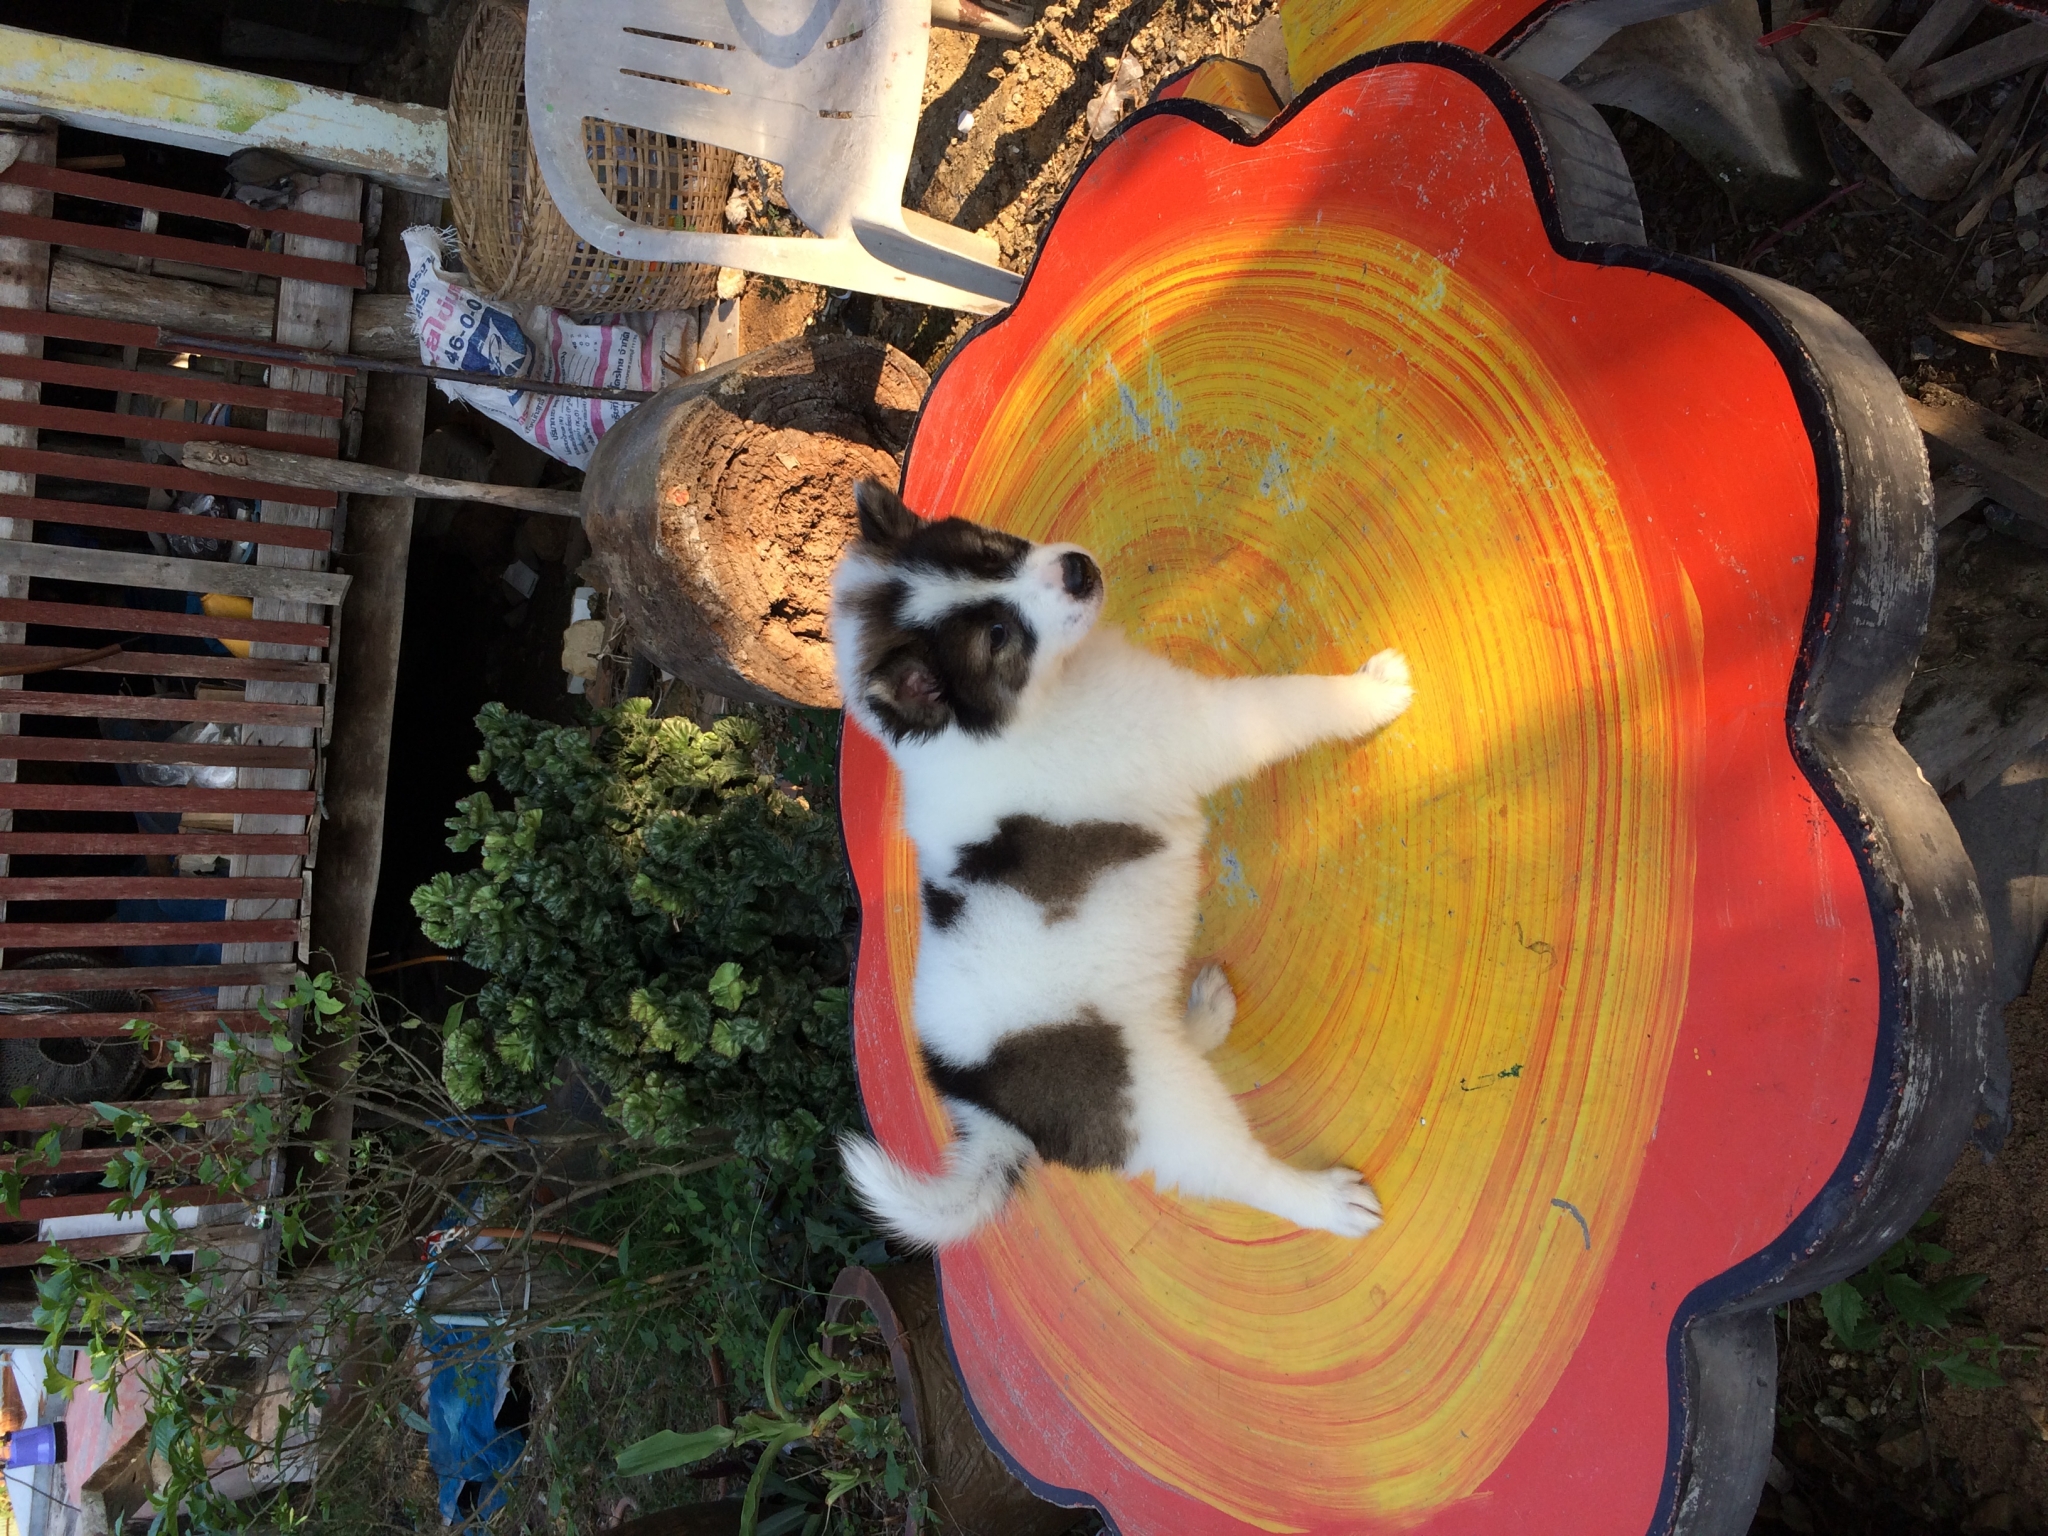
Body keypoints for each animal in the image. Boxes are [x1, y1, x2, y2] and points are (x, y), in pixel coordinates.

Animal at [833, 481, 1413, 1248]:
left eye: (991, 549)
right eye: (998, 637)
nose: (1077, 569)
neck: (1002, 723)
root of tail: (982, 1106)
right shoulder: (1202, 727)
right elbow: (1292, 703)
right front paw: (1373, 692)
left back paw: (1204, 1015)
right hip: (1146, 1100)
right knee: (1233, 1170)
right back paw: (1326, 1203)